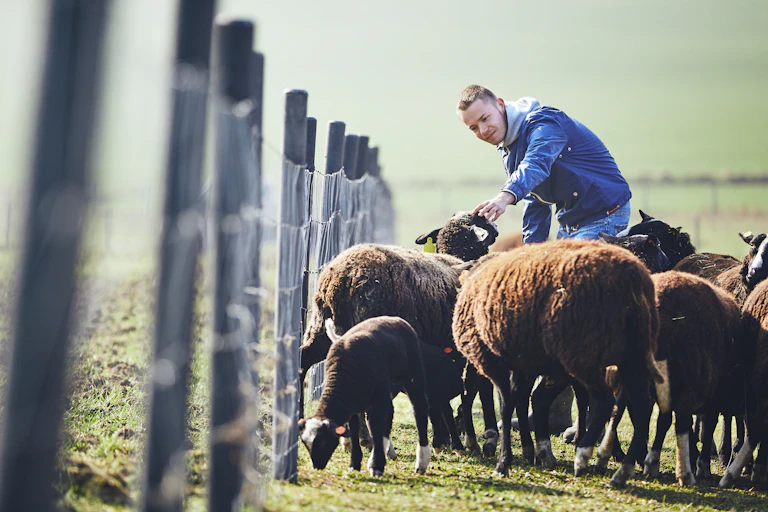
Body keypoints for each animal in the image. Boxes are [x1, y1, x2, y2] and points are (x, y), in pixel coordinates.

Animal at [298, 316, 431, 476]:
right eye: (305, 443)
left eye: (324, 441)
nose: (317, 466)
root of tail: (395, 318)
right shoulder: (353, 404)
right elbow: (355, 429)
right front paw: (355, 463)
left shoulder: (378, 397)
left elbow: (376, 426)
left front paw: (376, 465)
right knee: (389, 415)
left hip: (412, 374)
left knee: (419, 410)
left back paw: (421, 462)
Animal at [300, 212, 501, 454]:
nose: (497, 228)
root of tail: (342, 279)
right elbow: (470, 391)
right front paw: (468, 441)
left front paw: (443, 439)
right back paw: (370, 442)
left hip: (319, 328)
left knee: (302, 363)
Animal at [452, 239, 665, 487]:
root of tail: (633, 282)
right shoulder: (522, 362)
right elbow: (518, 401)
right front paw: (527, 451)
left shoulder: (494, 360)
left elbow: (505, 406)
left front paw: (504, 462)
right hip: (631, 356)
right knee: (641, 407)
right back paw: (622, 471)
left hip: (583, 352)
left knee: (604, 402)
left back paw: (583, 456)